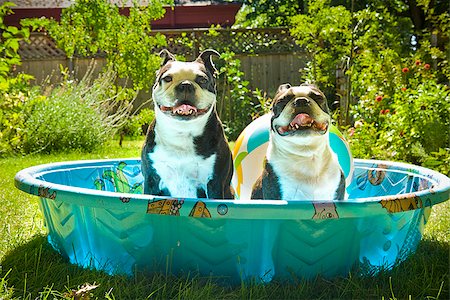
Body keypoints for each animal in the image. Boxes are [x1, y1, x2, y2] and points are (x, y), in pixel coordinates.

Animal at [142, 48, 234, 199]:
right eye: (167, 78)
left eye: (202, 80)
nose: (185, 85)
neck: (182, 131)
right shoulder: (151, 180)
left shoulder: (214, 184)